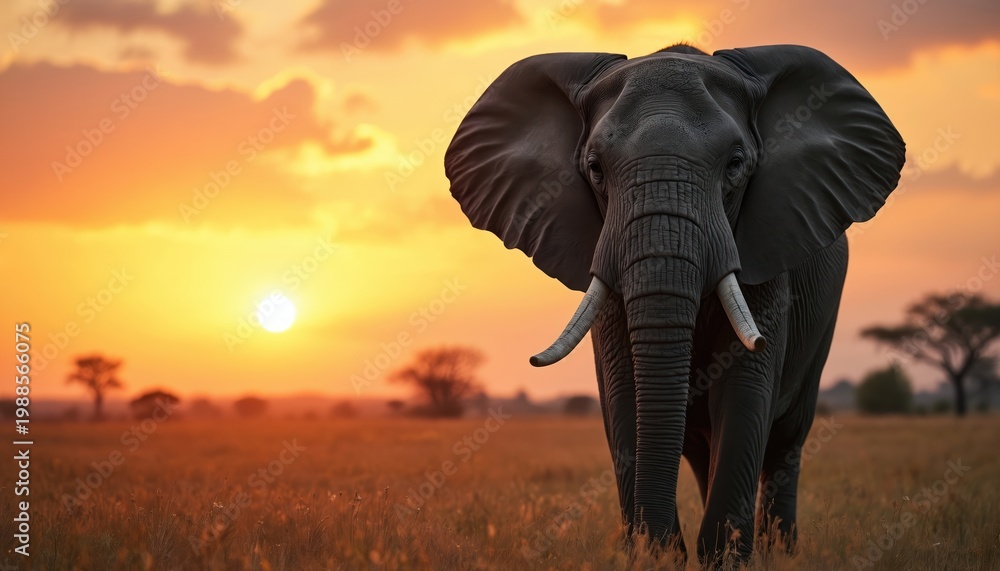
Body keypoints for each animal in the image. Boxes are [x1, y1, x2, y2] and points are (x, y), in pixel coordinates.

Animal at [444, 43, 904, 563]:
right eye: (595, 168)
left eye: (735, 165)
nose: (659, 544)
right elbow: (623, 392)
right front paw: (656, 557)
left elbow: (744, 390)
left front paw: (722, 559)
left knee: (787, 439)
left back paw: (781, 553)